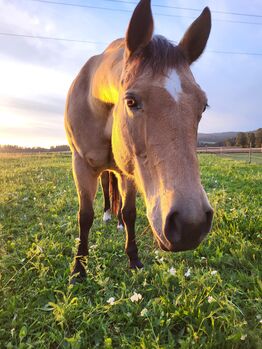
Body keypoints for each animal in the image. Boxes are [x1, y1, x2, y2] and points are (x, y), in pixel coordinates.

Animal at [65, 0, 213, 278]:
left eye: (203, 106)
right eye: (131, 101)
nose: (191, 224)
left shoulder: (130, 171)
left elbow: (130, 212)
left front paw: (133, 259)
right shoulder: (80, 164)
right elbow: (85, 216)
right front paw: (79, 268)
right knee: (105, 185)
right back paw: (107, 215)